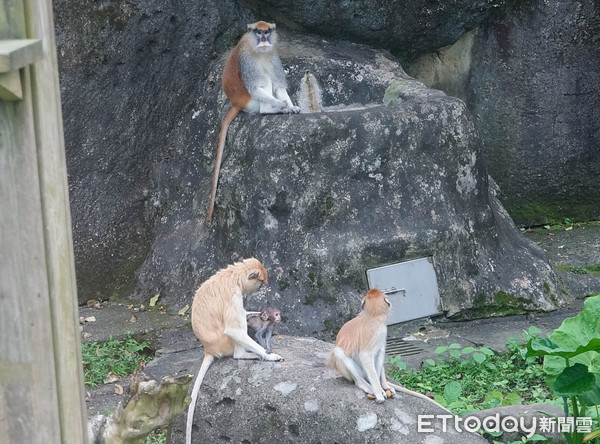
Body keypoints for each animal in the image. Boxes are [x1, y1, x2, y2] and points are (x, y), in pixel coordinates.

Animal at [185, 258, 284, 442]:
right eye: (260, 284)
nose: (259, 289)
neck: (234, 276)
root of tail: (209, 349)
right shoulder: (234, 296)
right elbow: (233, 329)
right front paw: (269, 356)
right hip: (226, 343)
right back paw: (245, 354)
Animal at [206, 20, 300, 222]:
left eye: (267, 32)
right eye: (258, 32)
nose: (264, 39)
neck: (259, 51)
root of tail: (236, 103)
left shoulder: (273, 56)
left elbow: (279, 85)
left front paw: (291, 106)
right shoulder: (248, 63)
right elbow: (258, 86)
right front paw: (281, 105)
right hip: (249, 101)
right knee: (263, 81)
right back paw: (270, 109)